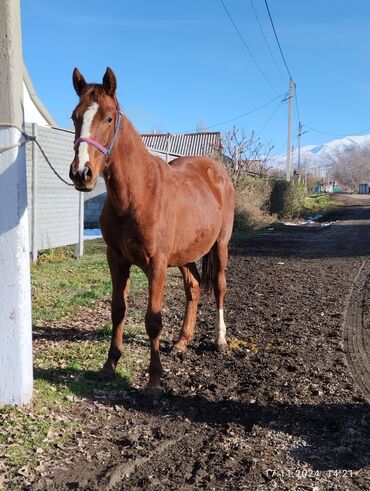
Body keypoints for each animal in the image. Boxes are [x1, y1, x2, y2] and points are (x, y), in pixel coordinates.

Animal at [69, 67, 234, 390]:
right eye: (74, 116)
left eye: (108, 118)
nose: (82, 173)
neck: (137, 194)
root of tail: (218, 171)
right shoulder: (117, 261)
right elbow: (118, 310)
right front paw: (109, 365)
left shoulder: (156, 265)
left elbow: (153, 320)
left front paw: (155, 380)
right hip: (184, 255)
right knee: (194, 287)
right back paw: (182, 341)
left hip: (220, 245)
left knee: (219, 287)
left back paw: (220, 340)